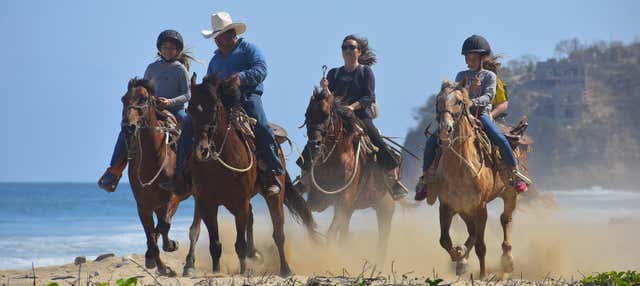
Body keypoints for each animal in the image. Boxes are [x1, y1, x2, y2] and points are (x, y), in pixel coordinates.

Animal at [120, 77, 194, 274]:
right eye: (124, 99)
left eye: (144, 99)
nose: (128, 127)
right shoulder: (143, 205)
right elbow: (152, 235)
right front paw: (161, 267)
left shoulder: (174, 197)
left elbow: (162, 226)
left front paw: (171, 247)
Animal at [185, 74, 318, 278]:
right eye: (190, 109)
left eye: (215, 107)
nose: (202, 150)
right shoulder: (207, 203)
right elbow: (215, 244)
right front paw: (216, 272)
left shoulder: (240, 203)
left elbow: (240, 244)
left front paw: (244, 271)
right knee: (252, 221)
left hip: (274, 195)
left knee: (278, 233)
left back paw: (285, 269)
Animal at [302, 87, 408, 256]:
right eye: (307, 115)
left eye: (326, 115)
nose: (314, 145)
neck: (335, 159)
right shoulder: (316, 200)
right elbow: (308, 221)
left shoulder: (344, 201)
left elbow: (331, 233)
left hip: (385, 208)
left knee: (382, 242)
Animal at [428, 81, 524, 280]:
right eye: (438, 100)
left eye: (458, 101)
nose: (445, 129)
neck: (460, 166)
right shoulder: (447, 206)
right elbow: (445, 240)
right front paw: (460, 257)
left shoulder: (481, 208)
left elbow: (481, 246)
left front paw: (482, 275)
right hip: (464, 209)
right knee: (471, 231)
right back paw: (463, 258)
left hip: (510, 194)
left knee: (505, 219)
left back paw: (507, 260)